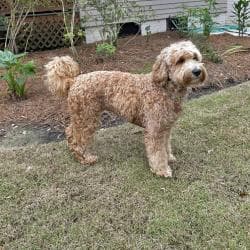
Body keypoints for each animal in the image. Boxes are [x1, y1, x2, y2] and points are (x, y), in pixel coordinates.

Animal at [44, 40, 207, 178]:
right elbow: (157, 152)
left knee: (70, 132)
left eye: (195, 57)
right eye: (180, 60)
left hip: (82, 116)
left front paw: (169, 158)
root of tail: (74, 80)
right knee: (77, 137)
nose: (197, 71)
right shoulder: (155, 129)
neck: (164, 88)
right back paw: (84, 158)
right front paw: (161, 170)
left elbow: (166, 146)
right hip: (87, 117)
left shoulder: (166, 127)